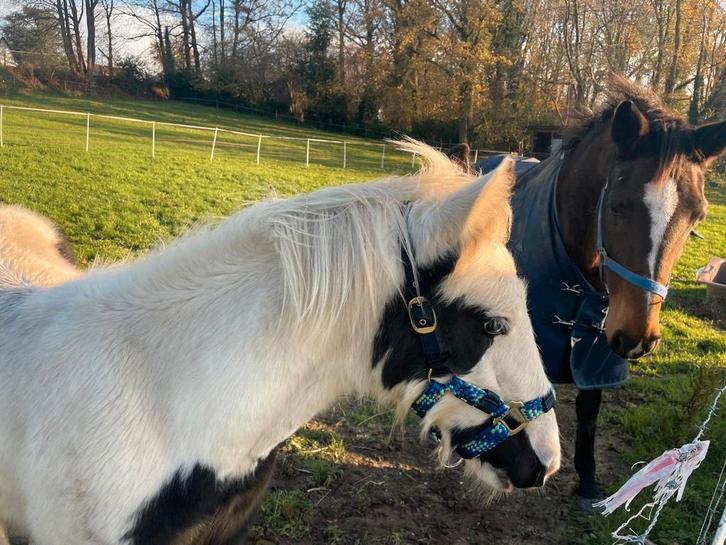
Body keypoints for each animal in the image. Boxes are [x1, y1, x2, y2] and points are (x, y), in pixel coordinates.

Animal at [464, 76, 725, 509]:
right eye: (617, 206)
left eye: (697, 215)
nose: (639, 339)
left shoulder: (598, 346)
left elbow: (589, 409)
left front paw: (586, 481)